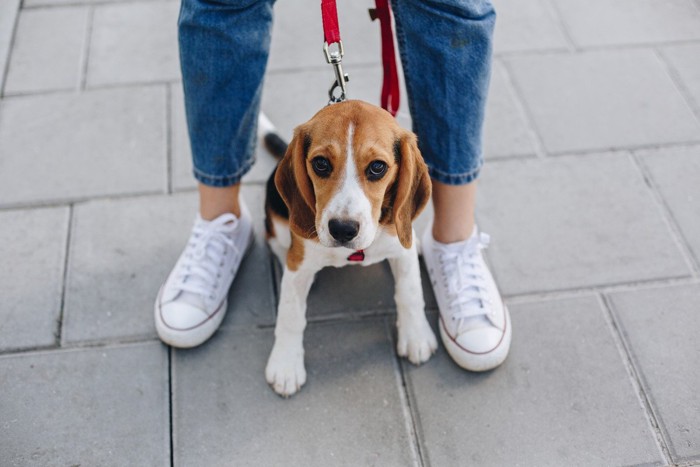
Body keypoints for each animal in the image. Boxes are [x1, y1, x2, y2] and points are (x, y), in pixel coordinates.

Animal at [264, 100, 434, 396]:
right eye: (321, 164)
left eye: (377, 167)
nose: (342, 229)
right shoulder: (299, 263)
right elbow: (290, 314)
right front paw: (285, 364)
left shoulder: (402, 251)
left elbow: (410, 293)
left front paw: (416, 336)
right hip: (276, 219)